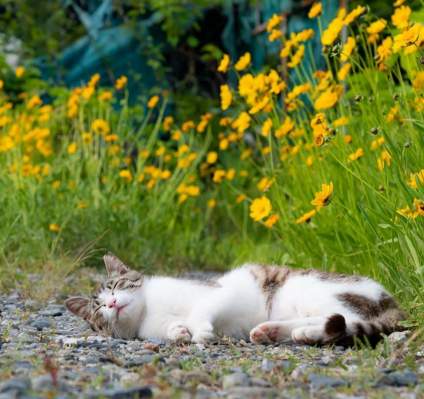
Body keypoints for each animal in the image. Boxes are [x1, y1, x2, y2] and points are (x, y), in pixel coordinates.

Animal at [64, 255, 406, 346]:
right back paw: (277, 331)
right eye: (98, 309)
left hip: (307, 289)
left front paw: (199, 330)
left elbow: (201, 309)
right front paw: (180, 332)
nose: (111, 304)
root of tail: (391, 301)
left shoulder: (219, 292)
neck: (148, 311)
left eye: (115, 285)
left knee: (343, 319)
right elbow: (174, 328)